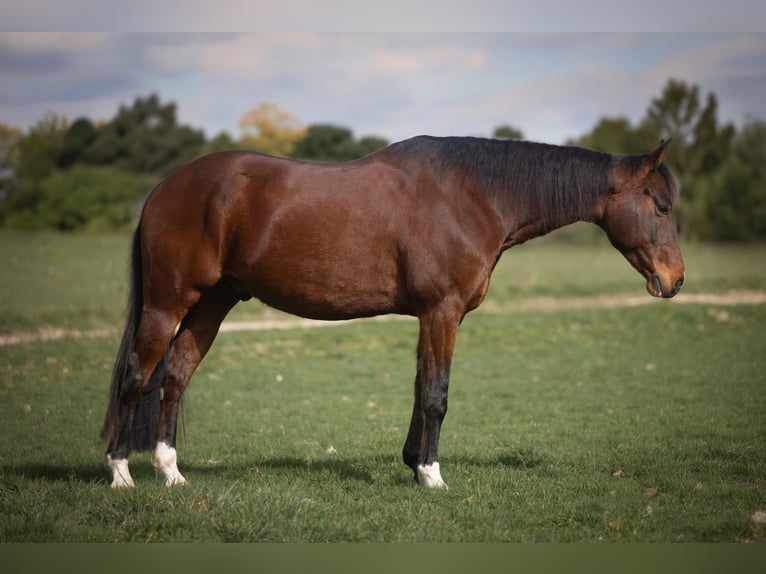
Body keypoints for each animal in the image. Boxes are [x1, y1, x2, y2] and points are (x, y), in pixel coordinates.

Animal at [101, 135, 684, 489]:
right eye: (661, 206)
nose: (676, 280)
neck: (472, 196)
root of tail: (165, 188)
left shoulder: (433, 316)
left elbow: (420, 387)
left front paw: (412, 465)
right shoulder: (441, 311)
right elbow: (436, 395)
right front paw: (432, 475)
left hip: (213, 302)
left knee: (175, 377)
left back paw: (170, 472)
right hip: (168, 302)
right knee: (136, 376)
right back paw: (121, 473)